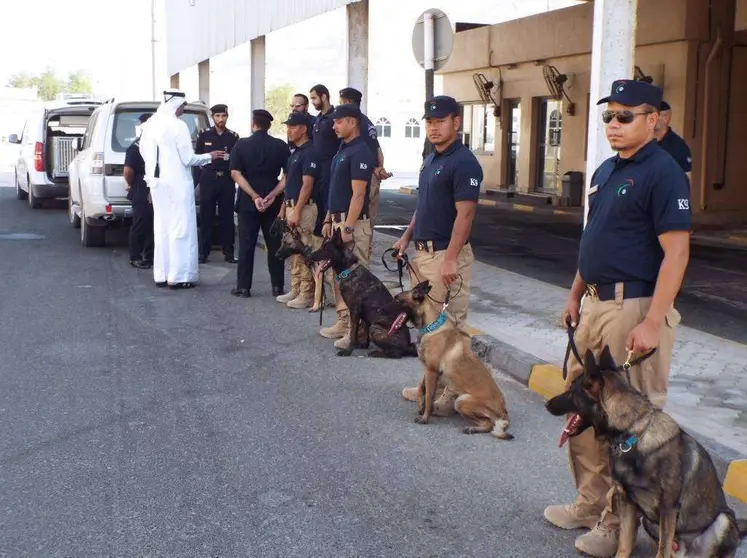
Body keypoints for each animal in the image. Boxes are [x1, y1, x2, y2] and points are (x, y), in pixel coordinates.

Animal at [306, 230, 420, 360]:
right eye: (322, 247)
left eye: (325, 248)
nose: (308, 257)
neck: (349, 270)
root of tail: (408, 345)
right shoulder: (363, 317)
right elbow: (364, 334)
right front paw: (363, 345)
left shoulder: (354, 311)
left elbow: (353, 334)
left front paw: (348, 351)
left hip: (375, 327)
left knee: (397, 353)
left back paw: (378, 353)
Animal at [392, 280, 516, 442]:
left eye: (397, 300)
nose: (379, 307)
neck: (432, 327)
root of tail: (504, 411)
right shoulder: (429, 371)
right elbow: (423, 391)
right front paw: (423, 410)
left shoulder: (431, 371)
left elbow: (428, 395)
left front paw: (424, 418)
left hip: (462, 401)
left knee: (489, 424)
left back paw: (472, 428)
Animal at [544, 348, 747, 556]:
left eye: (571, 392)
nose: (547, 405)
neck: (632, 436)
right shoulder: (627, 502)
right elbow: (625, 543)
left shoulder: (668, 509)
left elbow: (662, 550)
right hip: (650, 522)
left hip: (721, 520)